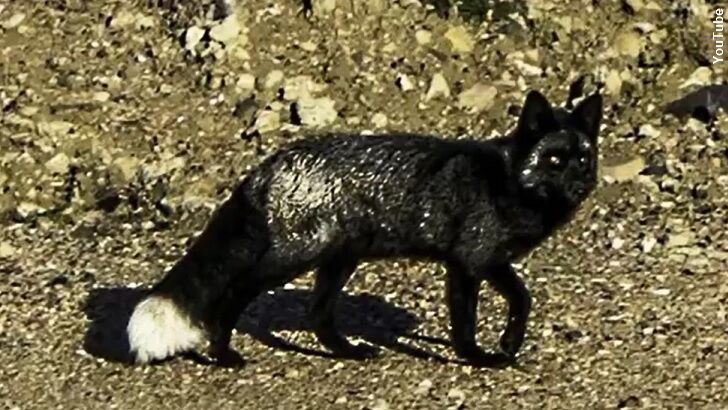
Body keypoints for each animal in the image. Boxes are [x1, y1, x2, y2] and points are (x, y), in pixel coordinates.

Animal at [126, 89, 604, 368]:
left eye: (584, 158)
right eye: (554, 160)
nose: (581, 185)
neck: (506, 182)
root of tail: (265, 167)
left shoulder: (491, 260)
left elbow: (523, 299)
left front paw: (508, 344)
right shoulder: (468, 263)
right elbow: (465, 324)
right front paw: (478, 358)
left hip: (340, 260)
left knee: (317, 315)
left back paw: (349, 352)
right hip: (293, 259)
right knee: (235, 295)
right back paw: (224, 355)